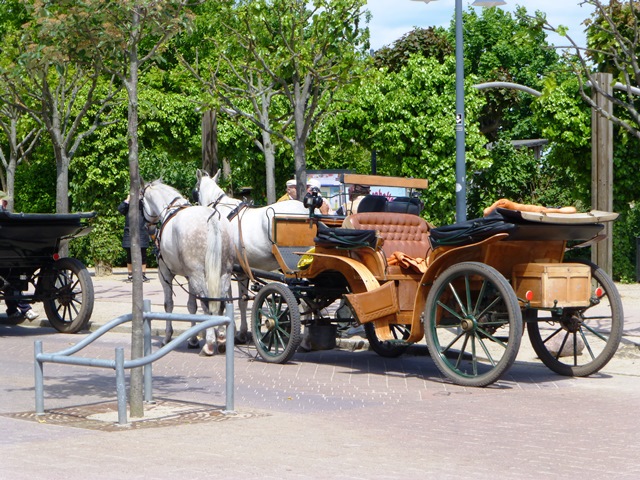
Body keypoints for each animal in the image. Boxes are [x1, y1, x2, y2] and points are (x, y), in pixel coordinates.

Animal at [142, 178, 235, 354]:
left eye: (141, 202)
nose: (149, 228)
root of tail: (212, 218)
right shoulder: (189, 276)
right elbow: (192, 306)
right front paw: (193, 339)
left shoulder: (165, 274)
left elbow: (169, 305)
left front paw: (167, 337)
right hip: (223, 273)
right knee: (220, 302)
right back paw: (221, 338)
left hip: (197, 275)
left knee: (207, 302)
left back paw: (210, 343)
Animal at [192, 169, 308, 342]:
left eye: (195, 191)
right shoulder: (243, 270)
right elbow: (242, 301)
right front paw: (241, 332)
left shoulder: (229, 269)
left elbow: (229, 300)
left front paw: (234, 331)